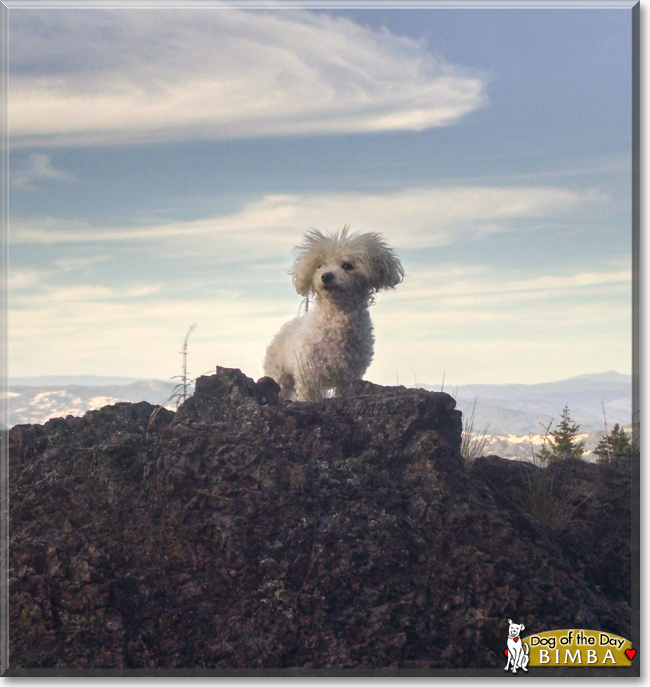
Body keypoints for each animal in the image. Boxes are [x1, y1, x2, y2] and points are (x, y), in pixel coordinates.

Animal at [262, 228, 402, 400]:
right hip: (279, 375)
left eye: (347, 265)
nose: (326, 275)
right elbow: (309, 396)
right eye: (319, 266)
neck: (335, 317)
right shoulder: (308, 373)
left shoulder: (349, 377)